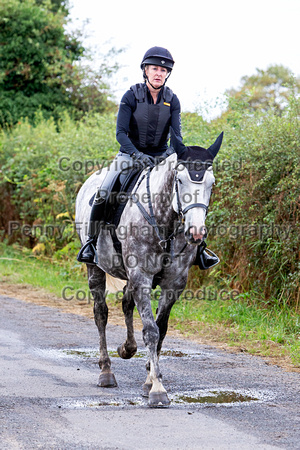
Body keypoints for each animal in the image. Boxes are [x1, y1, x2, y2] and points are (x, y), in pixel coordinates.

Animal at [75, 130, 223, 408]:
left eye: (211, 183)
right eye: (179, 180)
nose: (196, 232)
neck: (165, 221)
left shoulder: (173, 284)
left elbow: (161, 330)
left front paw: (148, 380)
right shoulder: (141, 277)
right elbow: (151, 331)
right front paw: (157, 390)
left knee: (126, 305)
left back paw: (127, 348)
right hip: (95, 267)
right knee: (101, 313)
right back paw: (106, 372)